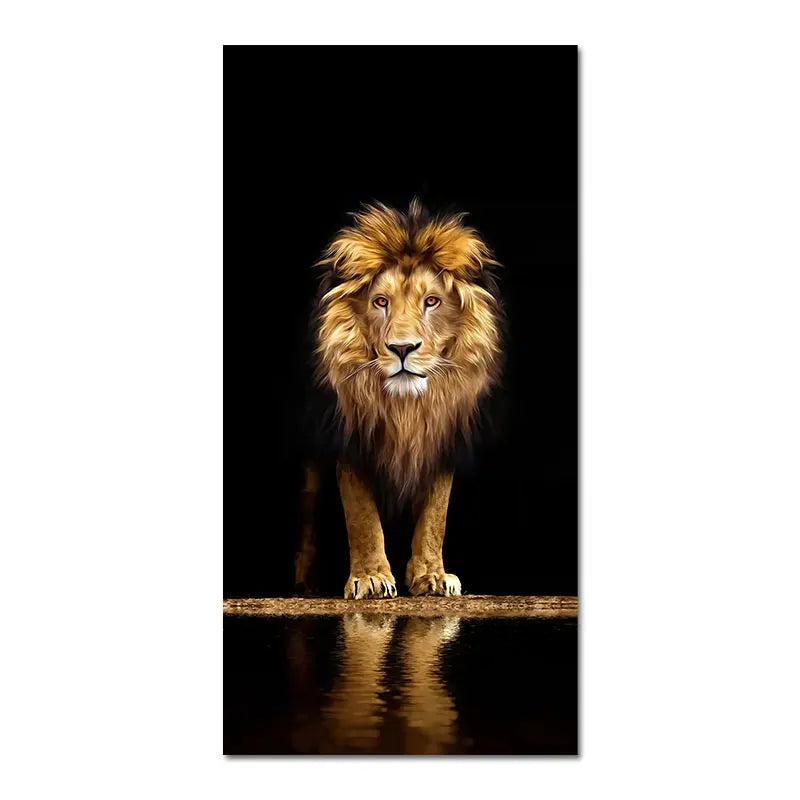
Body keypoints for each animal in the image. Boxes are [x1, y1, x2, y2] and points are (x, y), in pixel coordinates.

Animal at [305, 199, 503, 599]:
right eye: (380, 301)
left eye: (432, 301)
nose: (401, 348)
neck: (406, 408)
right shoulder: (350, 439)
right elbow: (361, 514)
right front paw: (370, 577)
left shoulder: (442, 438)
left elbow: (435, 515)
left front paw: (432, 576)